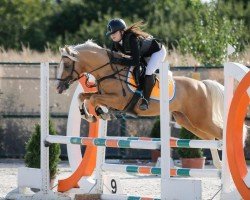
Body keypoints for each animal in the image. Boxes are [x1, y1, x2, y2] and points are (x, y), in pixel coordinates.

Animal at [56, 39, 225, 168]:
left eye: (67, 65)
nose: (58, 87)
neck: (108, 72)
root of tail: (202, 84)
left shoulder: (119, 100)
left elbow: (93, 99)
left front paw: (101, 113)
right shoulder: (104, 95)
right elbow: (82, 96)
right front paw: (89, 115)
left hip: (200, 118)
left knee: (220, 132)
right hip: (188, 121)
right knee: (210, 138)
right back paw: (219, 165)